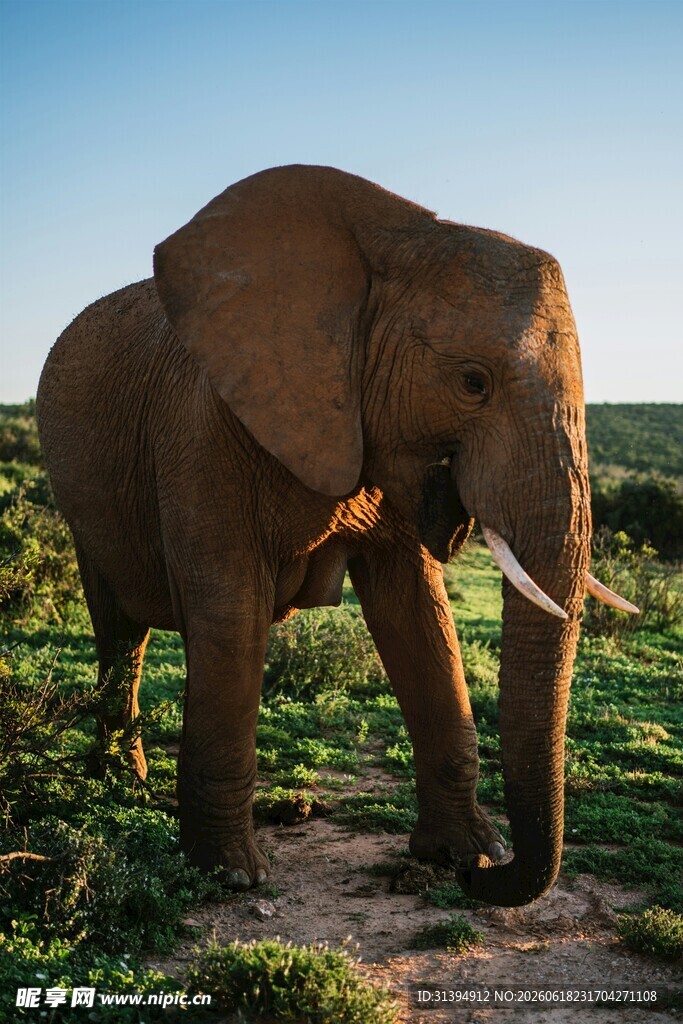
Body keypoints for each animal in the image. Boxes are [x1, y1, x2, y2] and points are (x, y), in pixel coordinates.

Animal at [36, 165, 636, 908]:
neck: (392, 240)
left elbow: (418, 614)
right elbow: (230, 614)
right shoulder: (202, 428)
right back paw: (121, 781)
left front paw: (462, 852)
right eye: (472, 382)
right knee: (119, 628)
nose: (483, 881)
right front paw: (229, 874)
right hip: (81, 500)